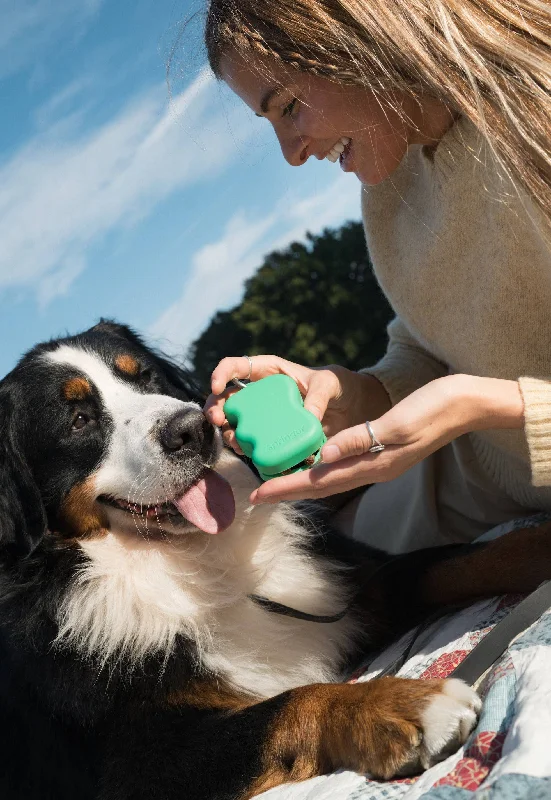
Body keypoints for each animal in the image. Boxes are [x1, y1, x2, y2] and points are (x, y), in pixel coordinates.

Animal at [2, 320, 548, 800]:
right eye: (79, 420)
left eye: (145, 377)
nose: (192, 429)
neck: (202, 563)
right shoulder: (140, 763)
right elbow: (289, 704)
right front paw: (402, 705)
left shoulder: (348, 586)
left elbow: (456, 562)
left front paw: (535, 545)